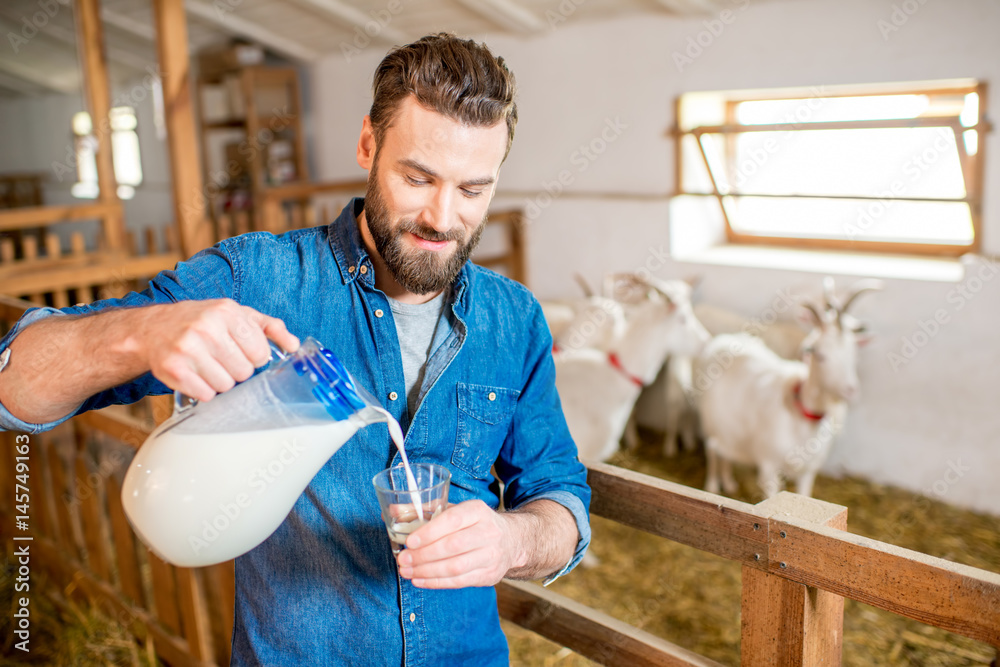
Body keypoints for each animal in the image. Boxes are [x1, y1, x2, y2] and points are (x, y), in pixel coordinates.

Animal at [692, 280, 880, 498]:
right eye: (818, 353)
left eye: (854, 352)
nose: (851, 390)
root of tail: (722, 340)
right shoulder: (769, 466)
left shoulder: (809, 471)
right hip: (707, 423)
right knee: (711, 451)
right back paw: (712, 486)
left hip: (728, 430)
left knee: (724, 453)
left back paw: (729, 483)